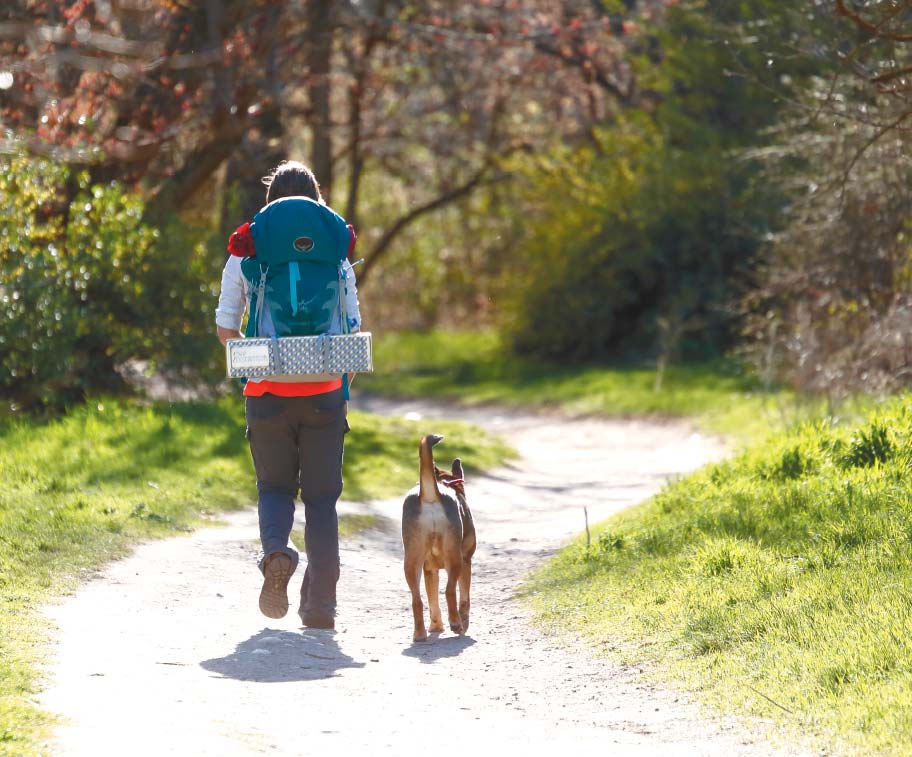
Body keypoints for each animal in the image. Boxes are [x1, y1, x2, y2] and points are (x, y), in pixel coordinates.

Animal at [404, 434, 478, 640]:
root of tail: (430, 495)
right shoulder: (467, 560)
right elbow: (465, 596)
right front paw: (463, 621)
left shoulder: (429, 569)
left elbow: (432, 599)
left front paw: (436, 626)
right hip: (455, 559)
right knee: (450, 591)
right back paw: (457, 624)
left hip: (412, 561)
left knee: (417, 600)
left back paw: (419, 634)